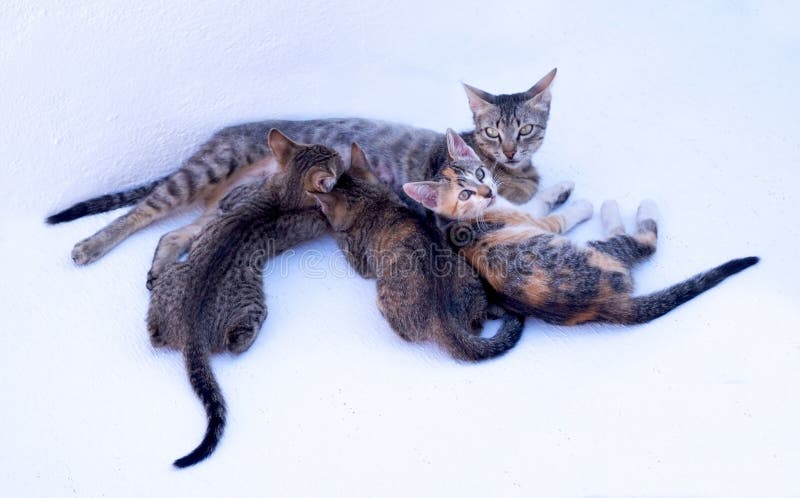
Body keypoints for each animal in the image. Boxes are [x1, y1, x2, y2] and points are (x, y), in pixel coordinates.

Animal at [45, 69, 556, 268]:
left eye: (527, 130)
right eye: (494, 132)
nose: (511, 152)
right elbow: (521, 199)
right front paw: (544, 193)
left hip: (227, 207)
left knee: (174, 233)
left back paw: (166, 267)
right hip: (207, 170)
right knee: (142, 212)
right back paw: (91, 245)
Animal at [148, 129, 342, 466]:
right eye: (333, 156)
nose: (340, 153)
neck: (283, 193)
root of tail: (192, 328)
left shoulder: (236, 198)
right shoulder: (312, 219)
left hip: (171, 277)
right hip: (253, 307)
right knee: (237, 342)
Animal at [404, 131, 760, 326]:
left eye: (479, 173)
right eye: (464, 194)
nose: (488, 192)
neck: (463, 220)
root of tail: (605, 306)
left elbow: (543, 197)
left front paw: (561, 189)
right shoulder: (533, 219)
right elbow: (554, 213)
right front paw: (581, 205)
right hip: (598, 252)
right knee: (641, 242)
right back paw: (626, 208)